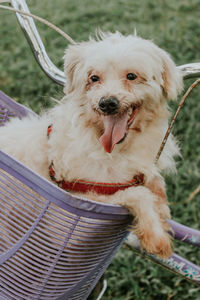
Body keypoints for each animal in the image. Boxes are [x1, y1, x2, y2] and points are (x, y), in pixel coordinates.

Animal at [0, 32, 183, 258]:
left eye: (131, 76)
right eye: (94, 78)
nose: (107, 103)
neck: (116, 149)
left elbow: (153, 183)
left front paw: (162, 205)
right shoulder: (77, 208)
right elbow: (137, 194)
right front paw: (156, 235)